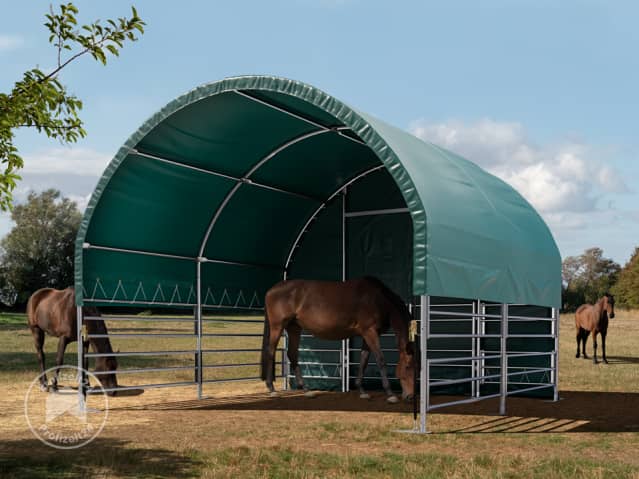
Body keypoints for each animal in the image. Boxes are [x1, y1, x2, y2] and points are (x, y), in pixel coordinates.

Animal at [260, 278, 416, 404]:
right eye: (408, 366)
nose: (410, 396)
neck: (378, 299)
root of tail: (271, 290)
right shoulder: (369, 331)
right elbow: (380, 360)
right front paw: (390, 394)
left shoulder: (368, 334)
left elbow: (364, 361)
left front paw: (362, 391)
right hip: (277, 326)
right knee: (270, 351)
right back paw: (272, 389)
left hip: (294, 328)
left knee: (292, 354)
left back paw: (306, 390)